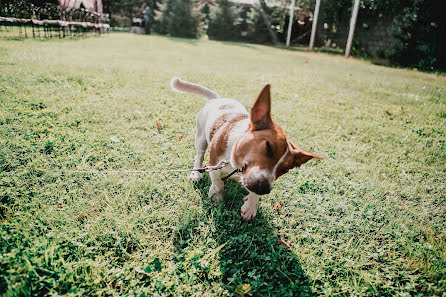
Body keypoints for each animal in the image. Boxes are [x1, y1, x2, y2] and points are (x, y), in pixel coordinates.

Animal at [172, 77, 322, 219]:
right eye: (268, 147)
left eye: (284, 169)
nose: (263, 188)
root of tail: (218, 99)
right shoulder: (214, 164)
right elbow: (218, 183)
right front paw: (217, 196)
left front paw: (251, 205)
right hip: (201, 136)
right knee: (200, 154)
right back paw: (196, 173)